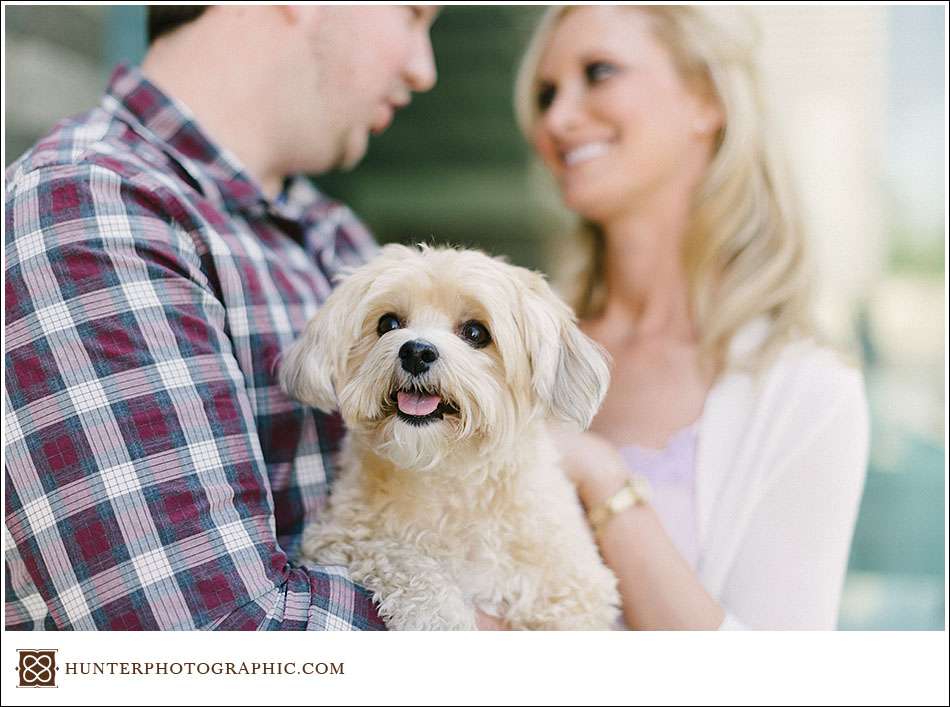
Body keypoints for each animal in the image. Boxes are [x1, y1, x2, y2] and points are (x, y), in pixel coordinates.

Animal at [280, 245, 624, 632]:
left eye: (475, 332)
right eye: (388, 324)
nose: (415, 351)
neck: (447, 475)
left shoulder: (577, 591)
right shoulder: (339, 536)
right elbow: (402, 556)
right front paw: (440, 616)